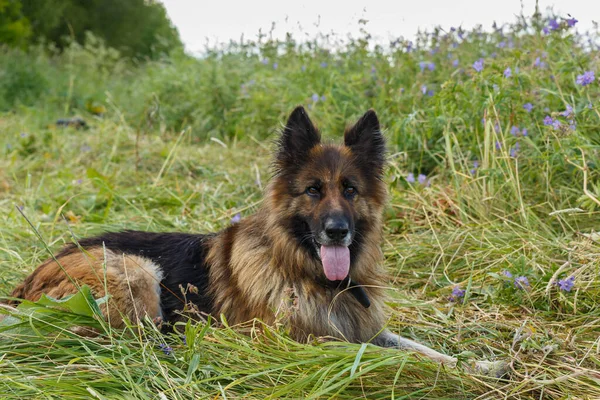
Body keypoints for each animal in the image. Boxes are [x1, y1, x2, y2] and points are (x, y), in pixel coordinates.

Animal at [5, 106, 506, 376]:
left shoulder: (363, 325)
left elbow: (419, 347)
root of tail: (27, 282)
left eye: (349, 190)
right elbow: (379, 355)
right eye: (313, 191)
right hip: (138, 273)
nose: (337, 230)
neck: (307, 273)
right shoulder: (300, 341)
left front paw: (478, 365)